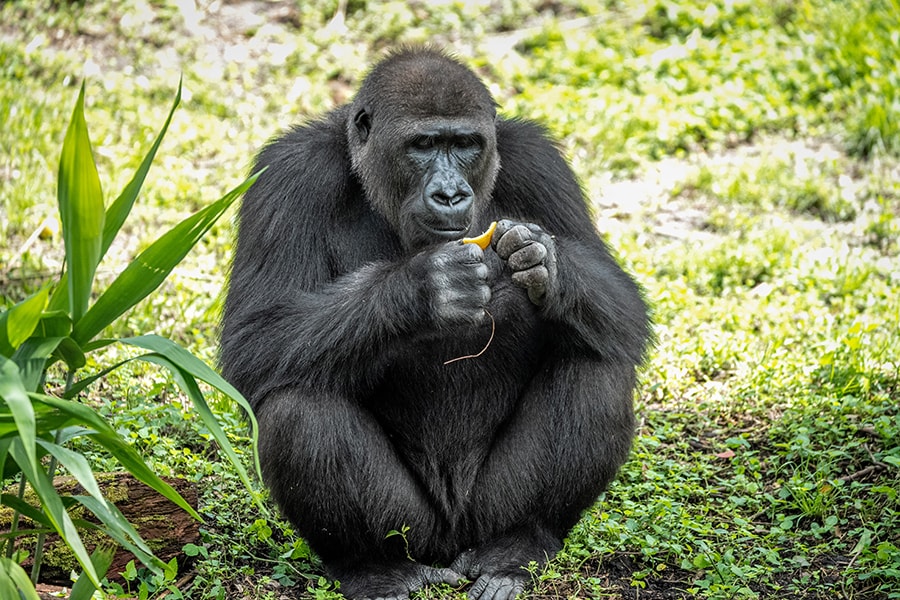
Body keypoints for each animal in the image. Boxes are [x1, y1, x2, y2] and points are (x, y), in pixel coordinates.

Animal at [221, 48, 652, 600]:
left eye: (465, 145)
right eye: (423, 146)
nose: (449, 194)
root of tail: (452, 542)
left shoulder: (540, 162)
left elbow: (624, 310)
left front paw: (544, 261)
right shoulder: (289, 175)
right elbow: (256, 334)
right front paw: (423, 289)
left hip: (487, 513)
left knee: (596, 372)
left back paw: (519, 544)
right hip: (415, 530)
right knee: (298, 406)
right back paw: (372, 566)